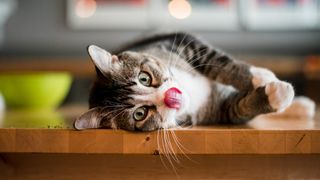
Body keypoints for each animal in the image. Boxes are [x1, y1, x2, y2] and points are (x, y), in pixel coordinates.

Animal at [74, 32, 316, 131]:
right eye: (140, 114)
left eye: (144, 78)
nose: (171, 97)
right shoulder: (220, 109)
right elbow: (241, 107)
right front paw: (276, 94)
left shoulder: (183, 42)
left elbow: (221, 62)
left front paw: (261, 76)